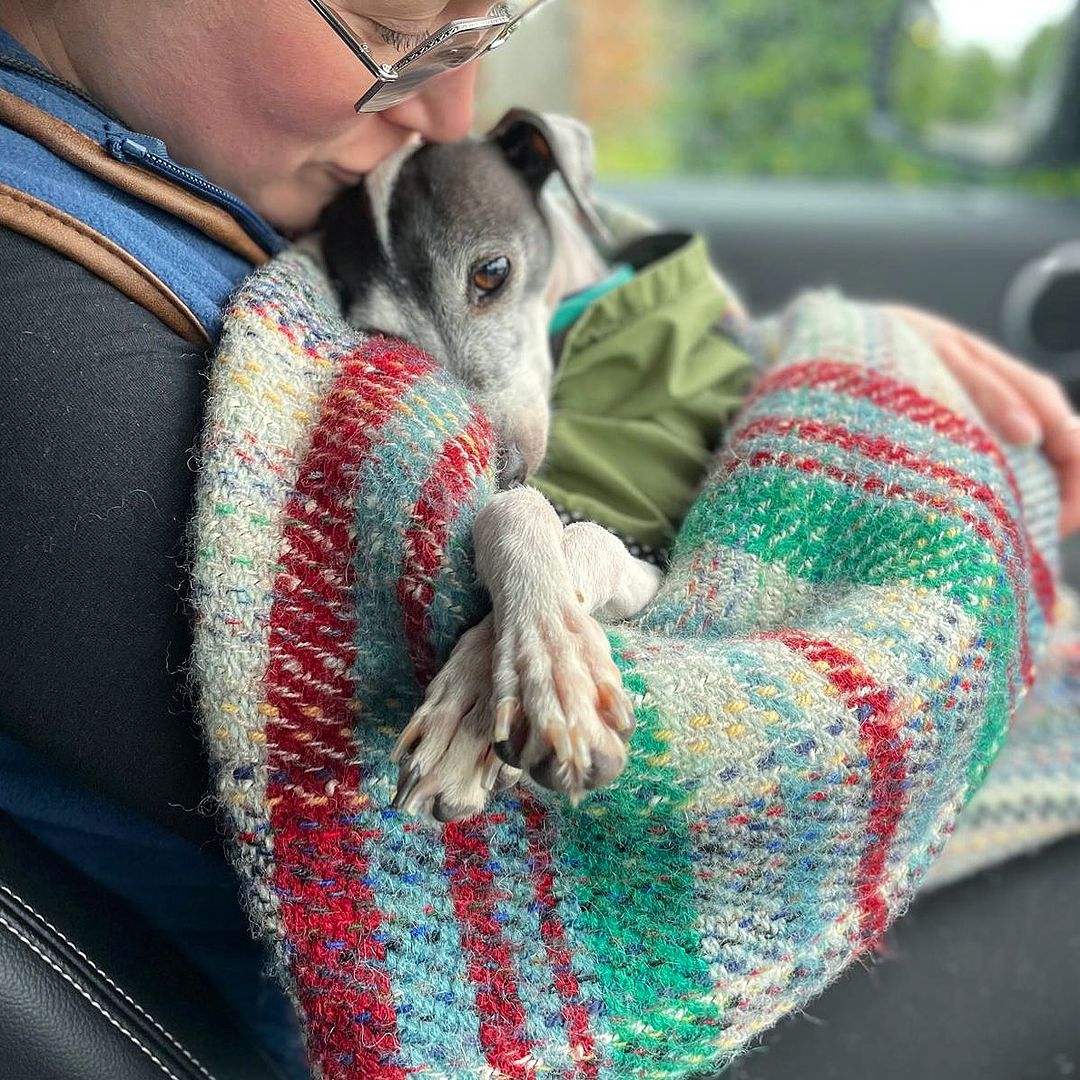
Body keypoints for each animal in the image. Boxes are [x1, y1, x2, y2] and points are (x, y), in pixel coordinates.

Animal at [315, 107, 660, 816]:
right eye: (385, 336)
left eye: (492, 271)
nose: (499, 466)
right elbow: (518, 510)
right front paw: (481, 700)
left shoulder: (654, 554)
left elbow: (586, 535)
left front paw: (548, 675)